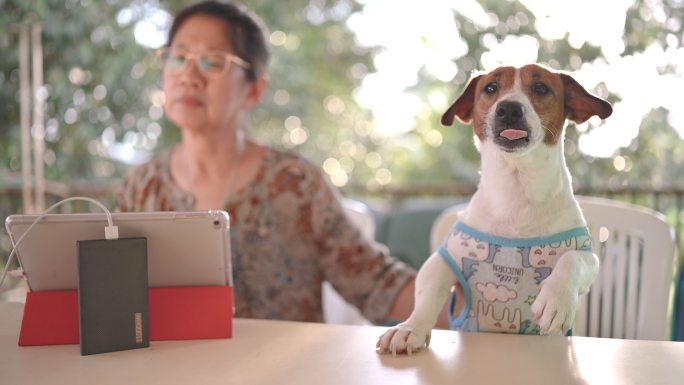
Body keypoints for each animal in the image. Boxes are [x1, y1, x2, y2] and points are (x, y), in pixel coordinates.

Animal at [376, 63, 612, 354]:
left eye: (541, 88)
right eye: (490, 88)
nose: (509, 108)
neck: (516, 193)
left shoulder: (586, 255)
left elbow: (573, 260)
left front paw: (555, 300)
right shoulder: (445, 258)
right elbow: (427, 292)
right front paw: (410, 329)